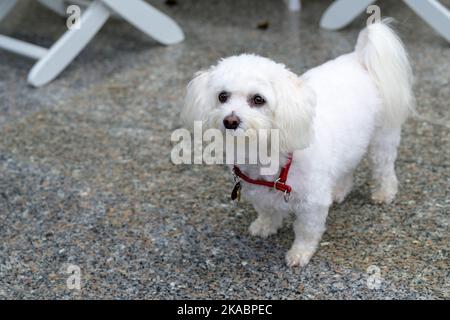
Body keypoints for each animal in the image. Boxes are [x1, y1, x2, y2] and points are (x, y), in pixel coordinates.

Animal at [181, 21, 414, 268]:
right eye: (222, 96)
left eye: (258, 99)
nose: (230, 121)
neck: (266, 153)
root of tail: (359, 58)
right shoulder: (259, 192)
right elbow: (266, 210)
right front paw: (265, 226)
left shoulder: (312, 203)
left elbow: (306, 231)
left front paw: (300, 253)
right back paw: (339, 190)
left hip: (382, 138)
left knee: (384, 168)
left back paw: (384, 193)